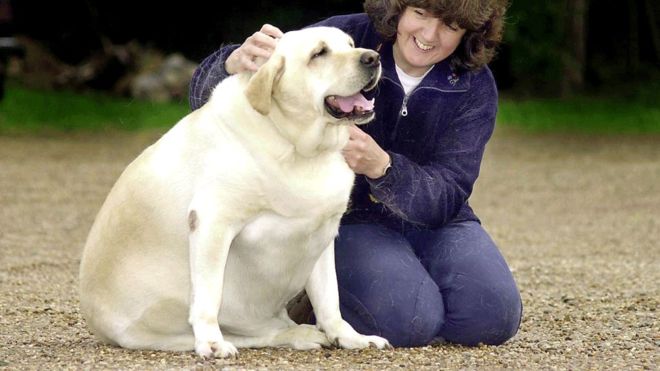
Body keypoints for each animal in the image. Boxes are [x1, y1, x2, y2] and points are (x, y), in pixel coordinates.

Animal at [78, 27, 390, 358]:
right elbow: (209, 295)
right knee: (250, 332)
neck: (296, 146)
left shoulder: (323, 233)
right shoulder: (212, 221)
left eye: (351, 44)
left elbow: (330, 298)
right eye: (319, 53)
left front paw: (350, 337)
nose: (373, 57)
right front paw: (211, 342)